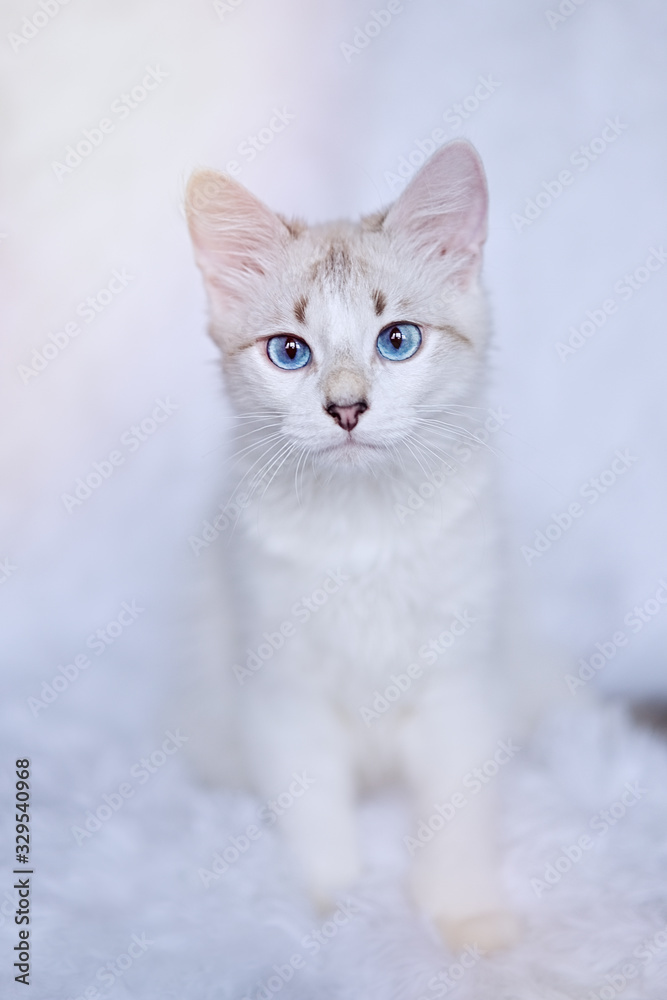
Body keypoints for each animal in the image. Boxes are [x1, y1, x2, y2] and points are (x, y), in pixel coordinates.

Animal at [184, 139, 536, 944]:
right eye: (290, 352)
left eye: (396, 341)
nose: (346, 407)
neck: (363, 527)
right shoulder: (281, 693)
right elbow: (316, 819)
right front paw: (334, 917)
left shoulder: (459, 687)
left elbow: (455, 818)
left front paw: (467, 920)